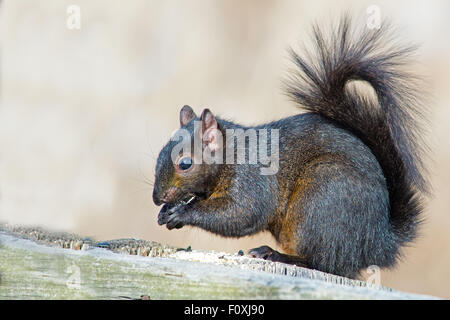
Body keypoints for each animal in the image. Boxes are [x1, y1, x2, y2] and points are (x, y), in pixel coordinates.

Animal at [151, 16, 428, 278]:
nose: (157, 198)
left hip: (321, 197)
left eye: (185, 163)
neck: (231, 154)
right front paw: (167, 212)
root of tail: (378, 243)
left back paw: (277, 255)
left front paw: (182, 213)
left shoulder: (253, 179)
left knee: (326, 263)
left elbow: (242, 212)